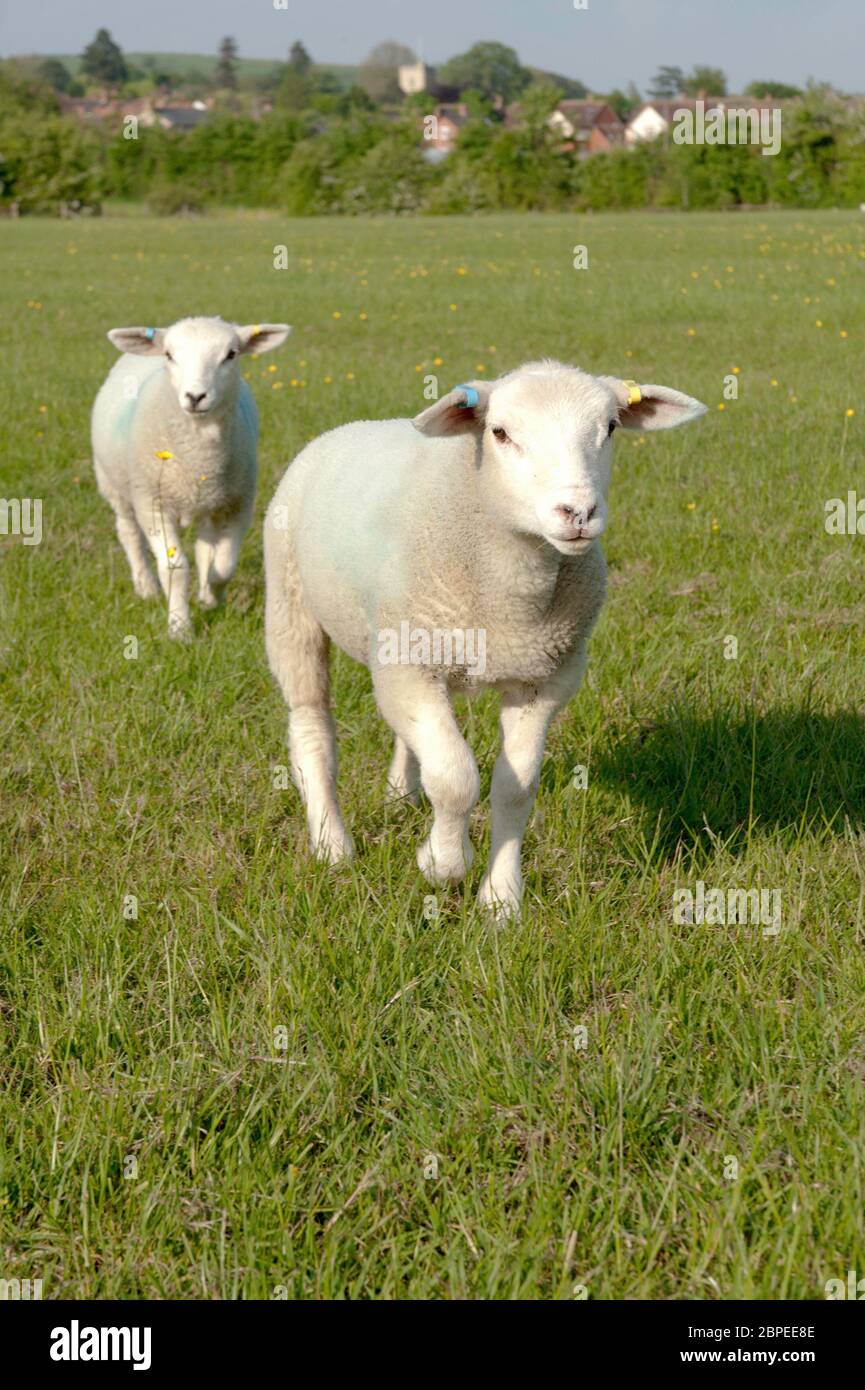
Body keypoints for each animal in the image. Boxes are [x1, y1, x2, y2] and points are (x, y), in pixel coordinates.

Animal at [92, 315, 292, 636]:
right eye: (169, 355)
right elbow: (175, 568)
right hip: (114, 484)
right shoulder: (154, 504)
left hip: (209, 503)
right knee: (128, 532)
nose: (195, 396)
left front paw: (211, 598)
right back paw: (146, 587)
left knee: (204, 548)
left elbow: (224, 564)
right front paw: (180, 627)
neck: (199, 459)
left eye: (231, 354)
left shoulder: (236, 505)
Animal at [262, 364, 706, 917]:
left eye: (610, 428)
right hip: (291, 605)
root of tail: (346, 429)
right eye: (500, 432)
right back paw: (331, 843)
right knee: (311, 727)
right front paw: (442, 863)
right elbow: (456, 778)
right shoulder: (409, 665)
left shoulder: (542, 679)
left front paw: (501, 899)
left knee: (407, 737)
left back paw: (400, 796)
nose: (577, 512)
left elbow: (515, 789)